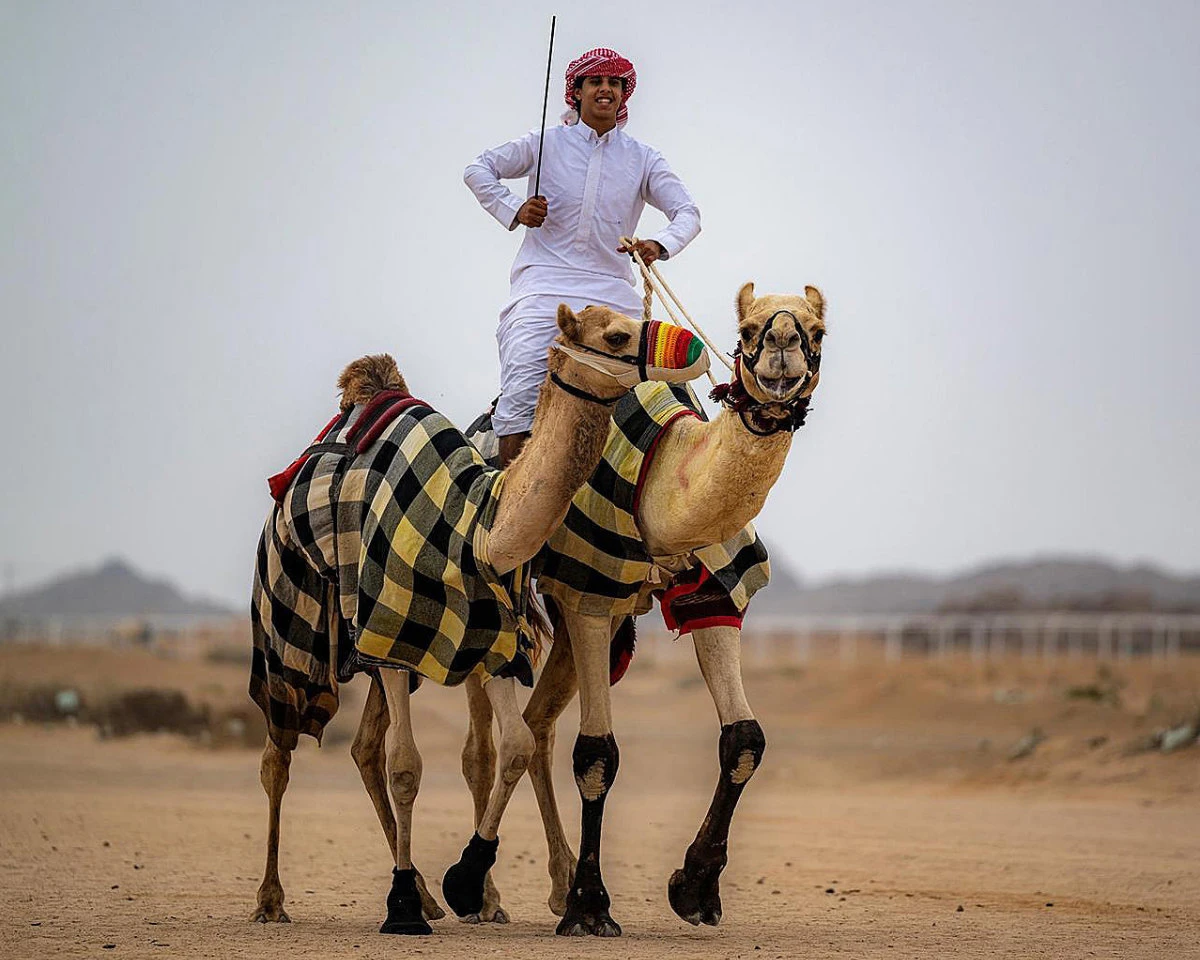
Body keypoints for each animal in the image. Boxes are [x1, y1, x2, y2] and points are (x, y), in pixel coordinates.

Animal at [248, 304, 708, 935]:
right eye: (615, 334)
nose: (693, 351)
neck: (475, 528)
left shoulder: (489, 639)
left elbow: (510, 746)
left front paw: (465, 885)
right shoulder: (391, 630)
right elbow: (409, 765)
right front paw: (402, 907)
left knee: (363, 747)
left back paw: (427, 894)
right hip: (290, 615)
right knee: (280, 748)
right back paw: (272, 900)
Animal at [460, 281, 827, 936]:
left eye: (817, 329)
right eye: (749, 327)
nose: (782, 344)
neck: (659, 476)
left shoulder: (714, 591)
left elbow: (745, 737)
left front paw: (695, 888)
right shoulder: (590, 592)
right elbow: (597, 752)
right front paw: (591, 907)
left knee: (538, 726)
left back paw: (553, 885)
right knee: (484, 744)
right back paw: (485, 897)